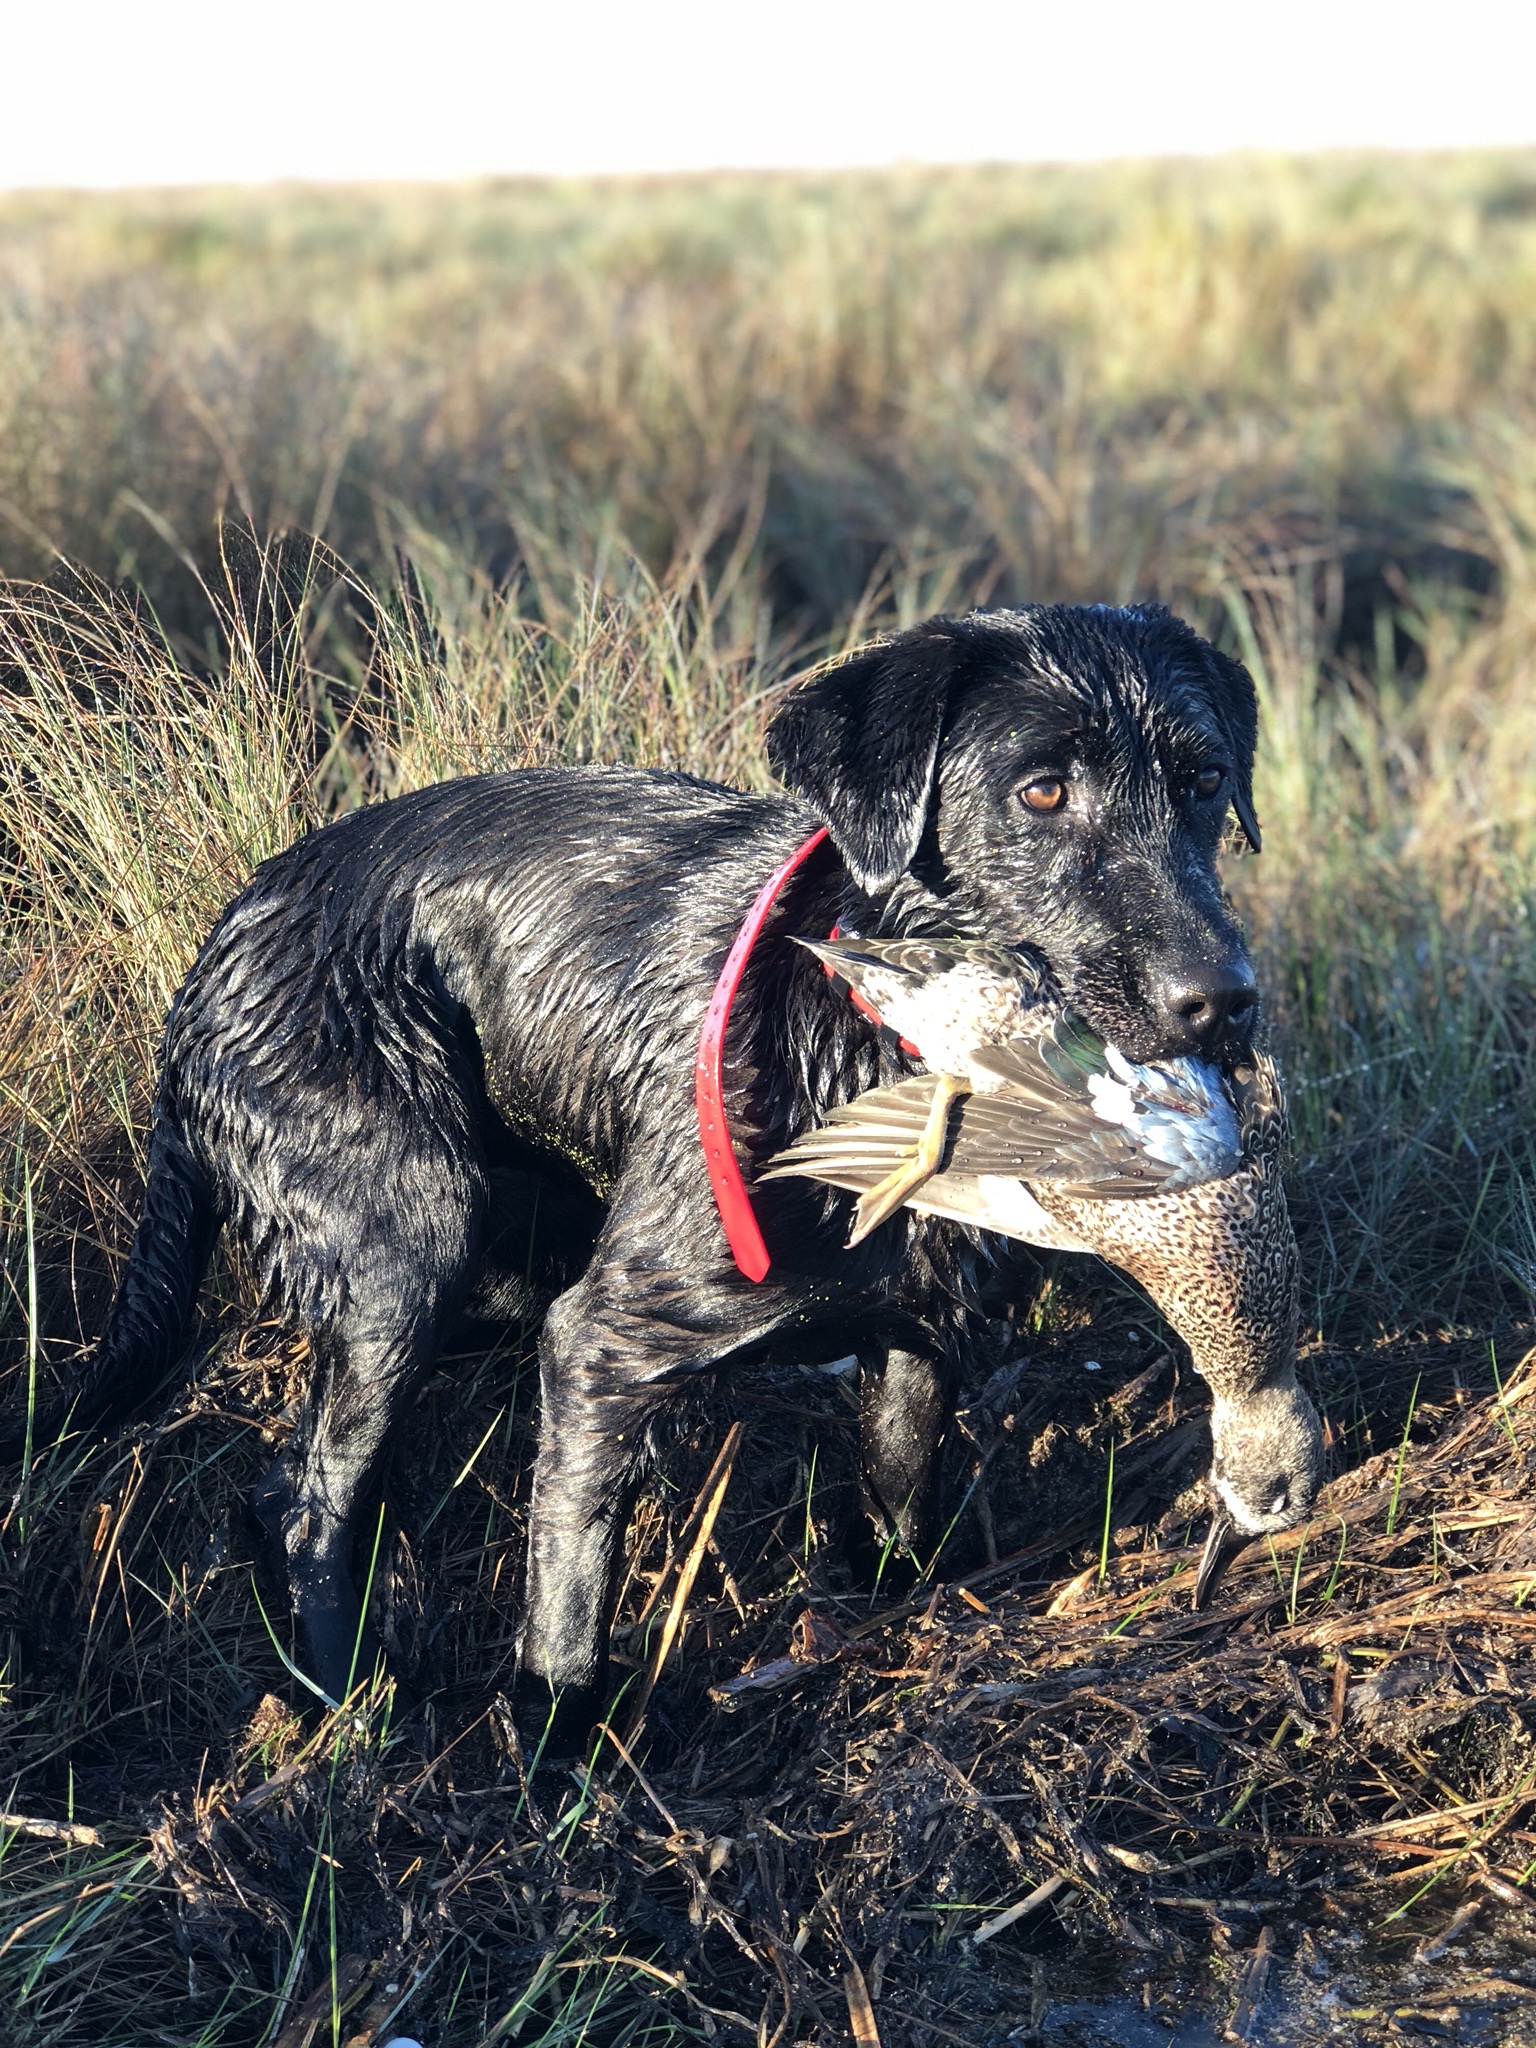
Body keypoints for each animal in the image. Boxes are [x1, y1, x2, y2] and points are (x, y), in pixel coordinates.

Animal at [39, 602, 1261, 1728]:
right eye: (1042, 791)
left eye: (1205, 780)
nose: (1220, 1000)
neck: (871, 1039)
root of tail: (213, 958)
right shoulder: (603, 1335)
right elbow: (576, 1561)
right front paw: (559, 1734)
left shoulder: (924, 1318)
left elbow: (903, 1473)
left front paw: (891, 1584)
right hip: (408, 1239)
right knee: (308, 1497)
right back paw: (344, 1695)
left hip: (518, 1225)